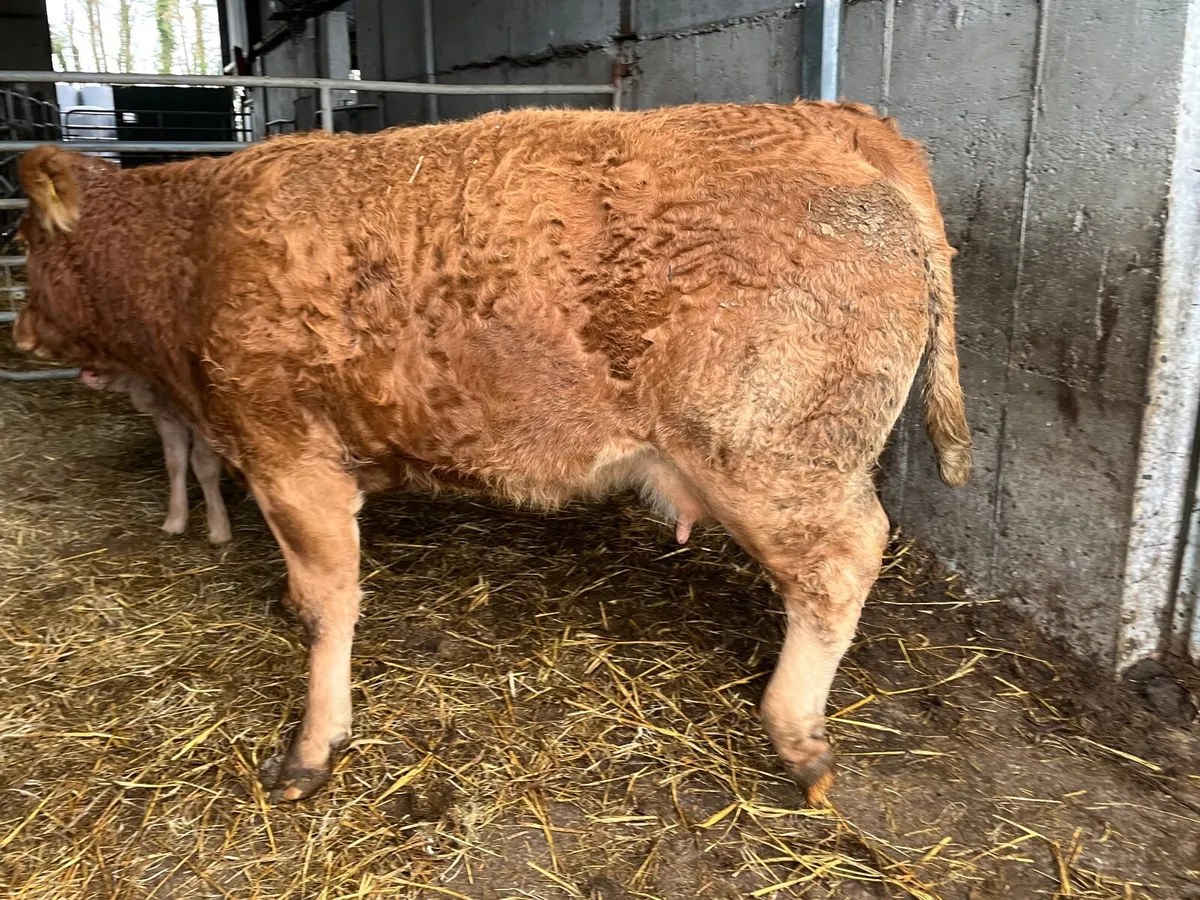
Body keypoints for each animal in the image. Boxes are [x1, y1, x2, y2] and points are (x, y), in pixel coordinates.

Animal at [79, 367, 233, 543]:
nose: (88, 375)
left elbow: (204, 467)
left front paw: (219, 528)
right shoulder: (167, 416)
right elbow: (175, 463)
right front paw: (174, 521)